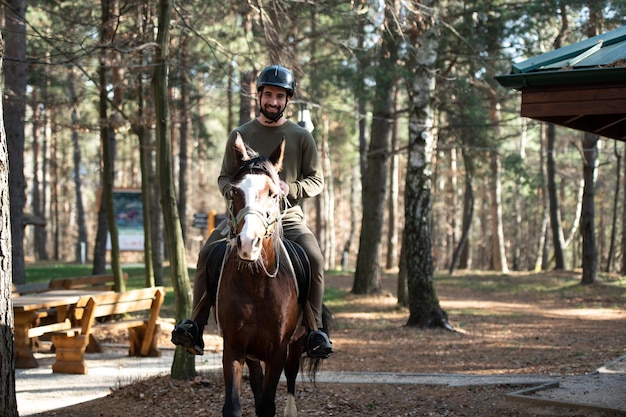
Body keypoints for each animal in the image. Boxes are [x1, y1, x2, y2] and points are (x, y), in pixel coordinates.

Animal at [216, 134, 322, 416]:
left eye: (274, 194)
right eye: (234, 191)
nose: (247, 243)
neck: (257, 285)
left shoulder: (278, 351)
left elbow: (267, 405)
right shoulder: (234, 348)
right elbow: (234, 405)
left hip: (296, 344)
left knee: (292, 376)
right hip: (253, 355)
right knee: (256, 380)